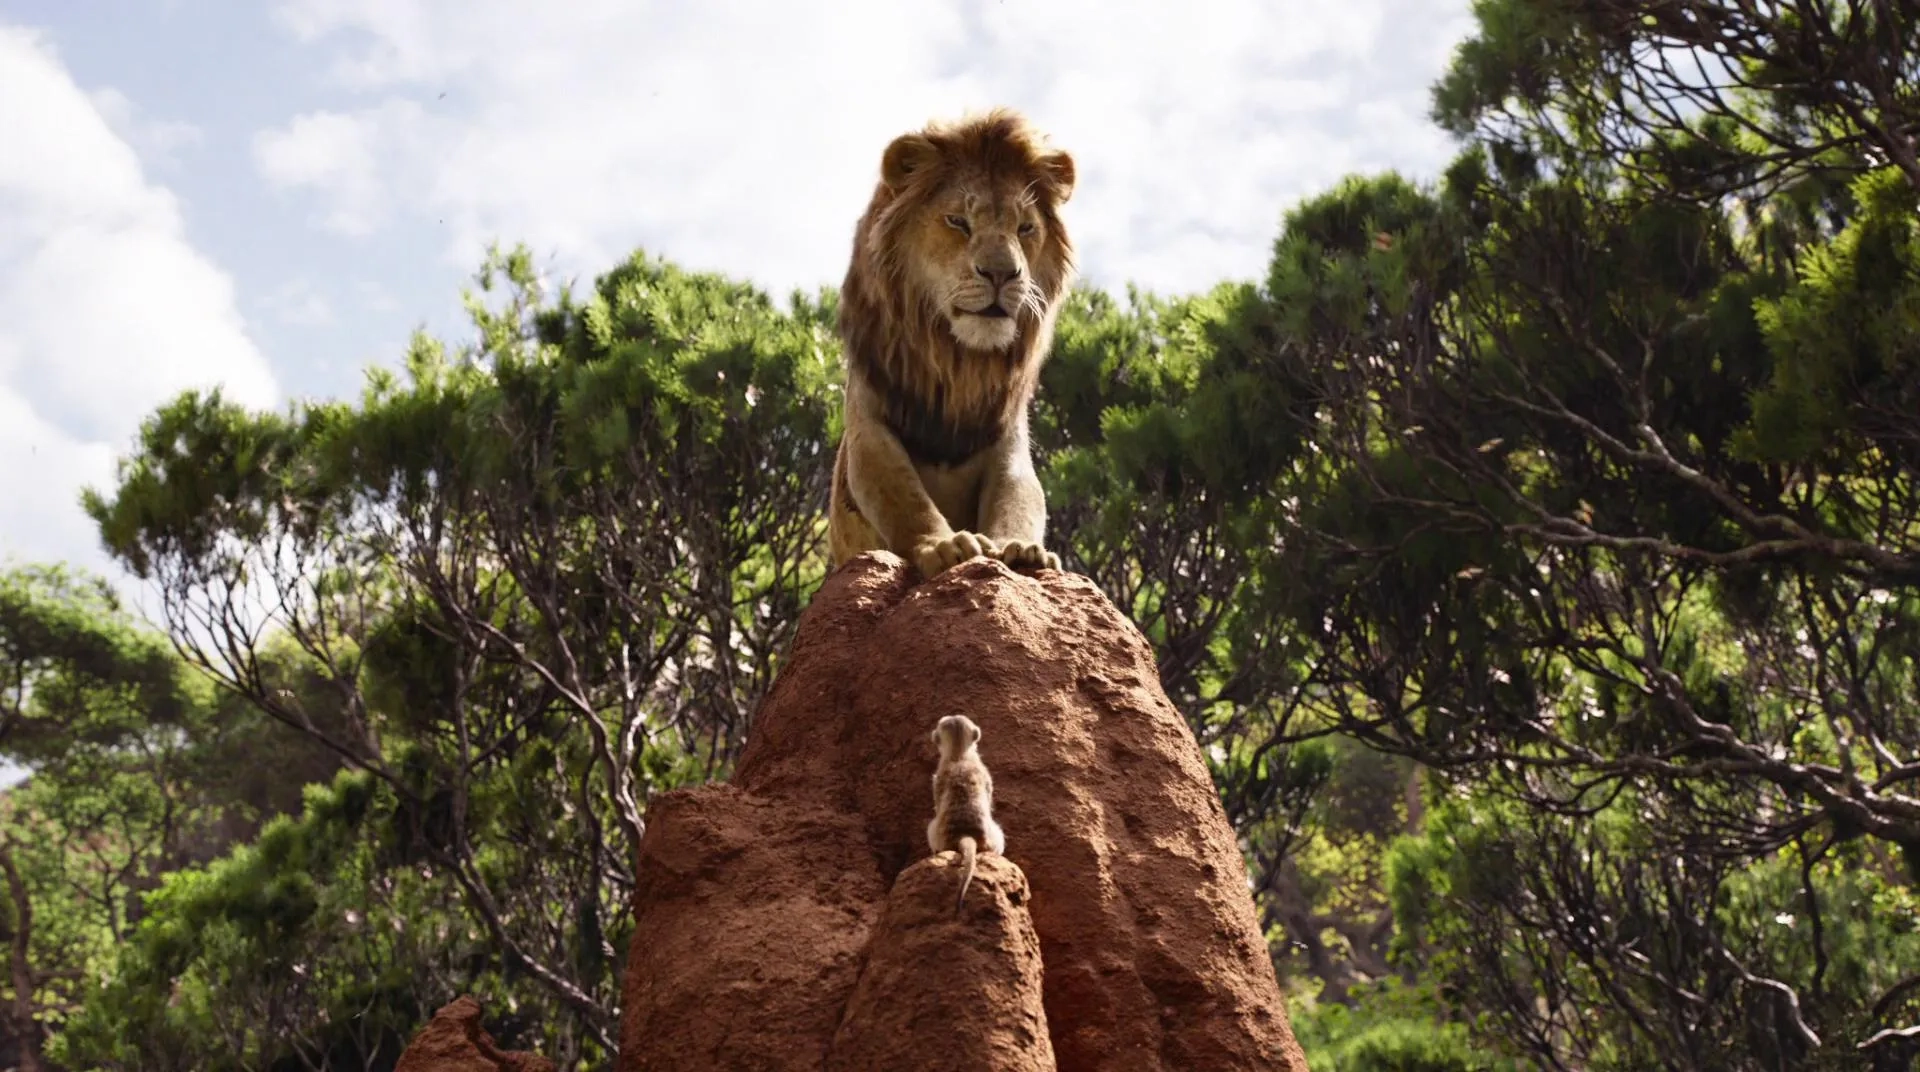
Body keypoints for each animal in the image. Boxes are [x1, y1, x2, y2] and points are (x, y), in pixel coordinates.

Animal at [827, 108, 1077, 580]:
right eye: (958, 222)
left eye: (1025, 228)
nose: (1002, 273)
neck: (958, 360)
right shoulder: (868, 421)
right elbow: (903, 496)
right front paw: (945, 546)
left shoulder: (1008, 437)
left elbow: (1019, 494)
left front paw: (1020, 548)